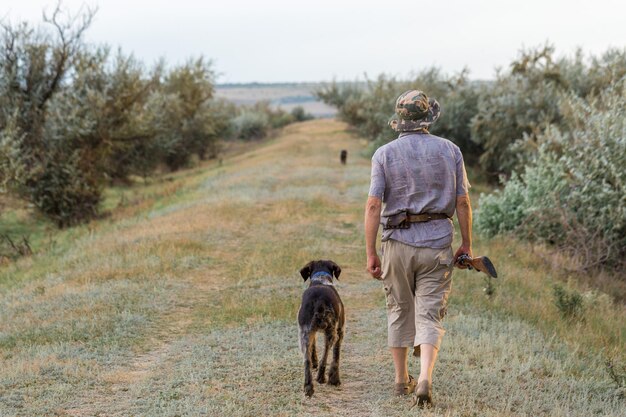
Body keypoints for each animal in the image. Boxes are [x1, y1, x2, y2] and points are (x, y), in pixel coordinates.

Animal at [298, 258, 346, 394]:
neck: (320, 279)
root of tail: (319, 300)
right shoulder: (340, 331)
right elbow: (336, 356)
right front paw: (334, 379)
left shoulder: (311, 332)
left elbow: (313, 348)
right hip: (331, 332)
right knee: (325, 356)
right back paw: (321, 377)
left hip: (304, 334)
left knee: (306, 360)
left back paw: (308, 386)